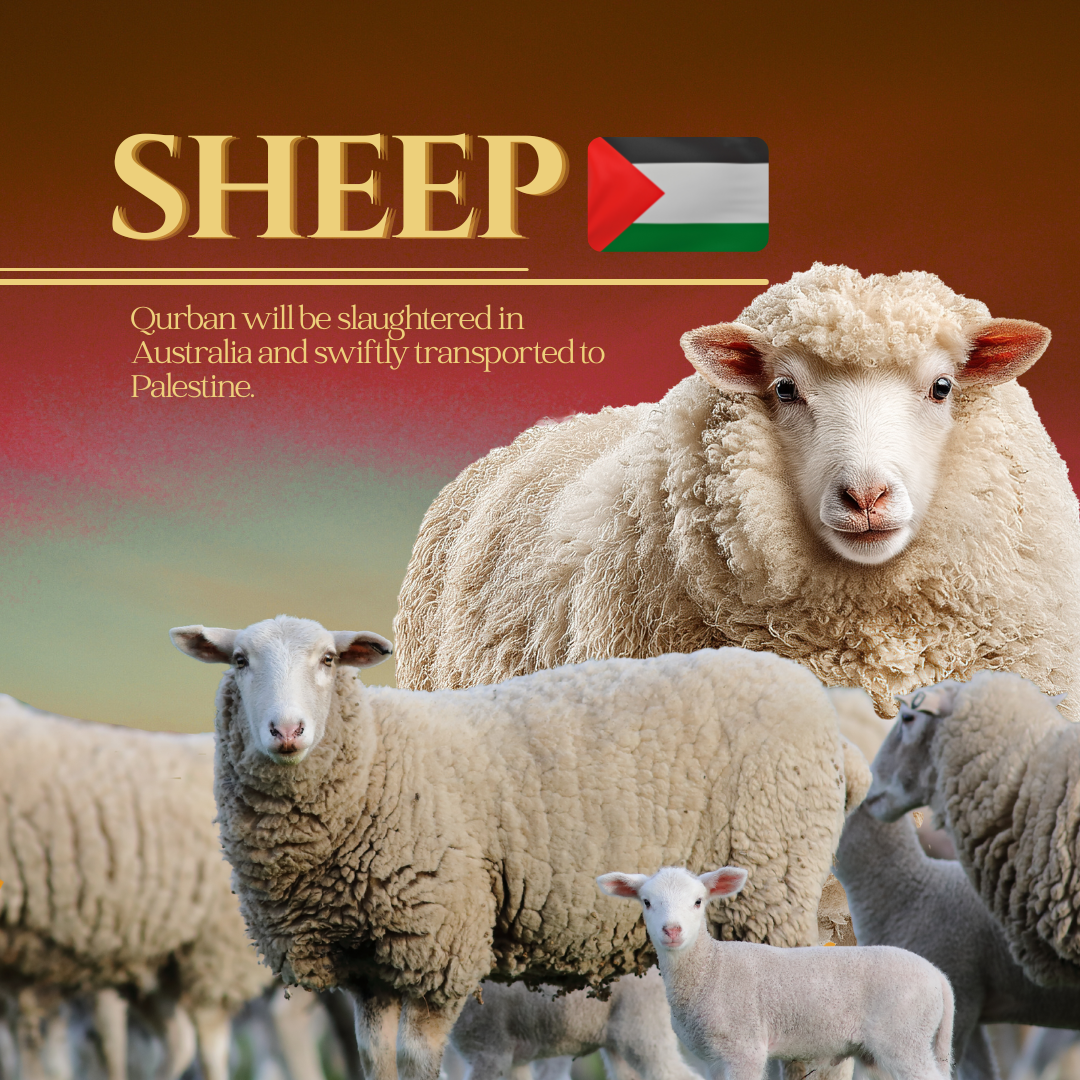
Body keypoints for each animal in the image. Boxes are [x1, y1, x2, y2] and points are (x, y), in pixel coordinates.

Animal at [170, 615, 866, 1080]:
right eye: (239, 661)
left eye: (327, 662)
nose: (287, 730)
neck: (374, 758)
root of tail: (832, 728)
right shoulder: (369, 962)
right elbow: (375, 1060)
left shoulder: (439, 941)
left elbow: (416, 1059)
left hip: (772, 884)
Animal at [596, 865, 954, 1080]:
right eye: (646, 902)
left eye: (698, 901)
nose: (672, 931)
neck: (711, 968)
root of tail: (939, 978)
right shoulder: (713, 1057)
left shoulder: (745, 1048)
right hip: (886, 1050)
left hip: (903, 1035)